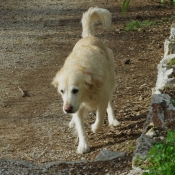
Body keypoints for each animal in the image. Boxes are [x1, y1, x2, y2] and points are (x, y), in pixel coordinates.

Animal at [52, 7, 119, 153]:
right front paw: (83, 145)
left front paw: (94, 127)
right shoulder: (77, 107)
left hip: (111, 83)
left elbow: (100, 118)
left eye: (75, 90)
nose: (67, 109)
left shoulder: (102, 98)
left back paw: (113, 120)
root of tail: (89, 37)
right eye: (62, 91)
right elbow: (80, 127)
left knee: (110, 104)